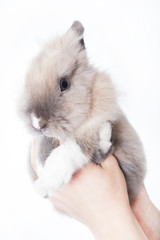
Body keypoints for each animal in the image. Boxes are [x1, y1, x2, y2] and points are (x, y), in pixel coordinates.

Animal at [20, 20, 146, 202]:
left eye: (64, 84)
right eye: (28, 82)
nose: (37, 122)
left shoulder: (94, 125)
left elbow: (73, 147)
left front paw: (48, 180)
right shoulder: (45, 137)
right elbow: (45, 143)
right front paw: (42, 171)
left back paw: (105, 135)